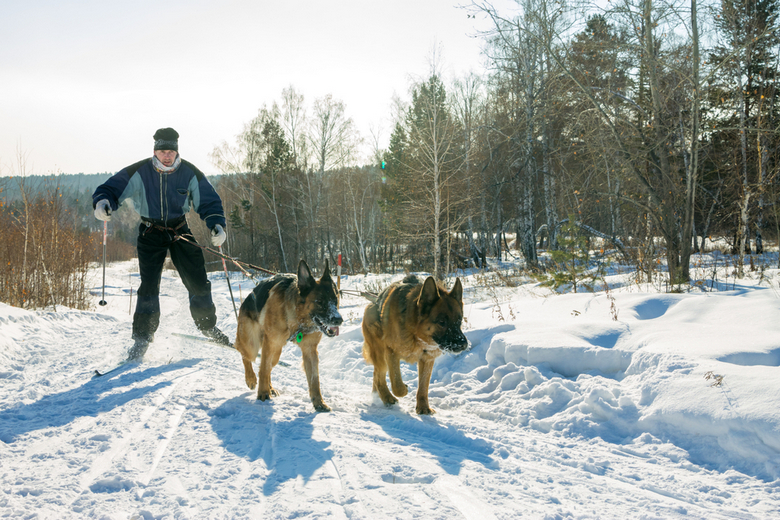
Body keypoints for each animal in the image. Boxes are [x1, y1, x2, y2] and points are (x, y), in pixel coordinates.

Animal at [233, 262, 340, 412]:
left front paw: (319, 403)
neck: (298, 319)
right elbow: (263, 369)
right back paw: (251, 378)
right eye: (319, 301)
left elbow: (314, 380)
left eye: (335, 300)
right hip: (252, 345)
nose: (339, 319)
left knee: (268, 367)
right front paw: (263, 393)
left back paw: (270, 387)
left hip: (276, 353)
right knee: (246, 355)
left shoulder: (310, 351)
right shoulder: (270, 343)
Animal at [362, 276, 466, 414]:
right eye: (442, 322)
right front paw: (404, 389)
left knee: (376, 375)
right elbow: (397, 385)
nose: (464, 344)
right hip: (380, 354)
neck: (416, 336)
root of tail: (373, 301)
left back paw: (378, 395)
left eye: (459, 321)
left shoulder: (427, 360)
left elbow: (423, 387)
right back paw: (387, 397)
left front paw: (423, 407)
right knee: (380, 377)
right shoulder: (391, 353)